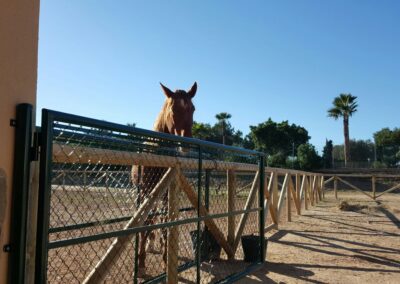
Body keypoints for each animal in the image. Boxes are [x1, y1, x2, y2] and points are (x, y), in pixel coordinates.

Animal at [134, 81, 198, 276]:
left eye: (193, 108)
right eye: (172, 108)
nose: (186, 143)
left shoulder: (167, 192)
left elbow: (165, 223)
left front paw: (166, 258)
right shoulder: (146, 192)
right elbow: (146, 223)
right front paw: (141, 264)